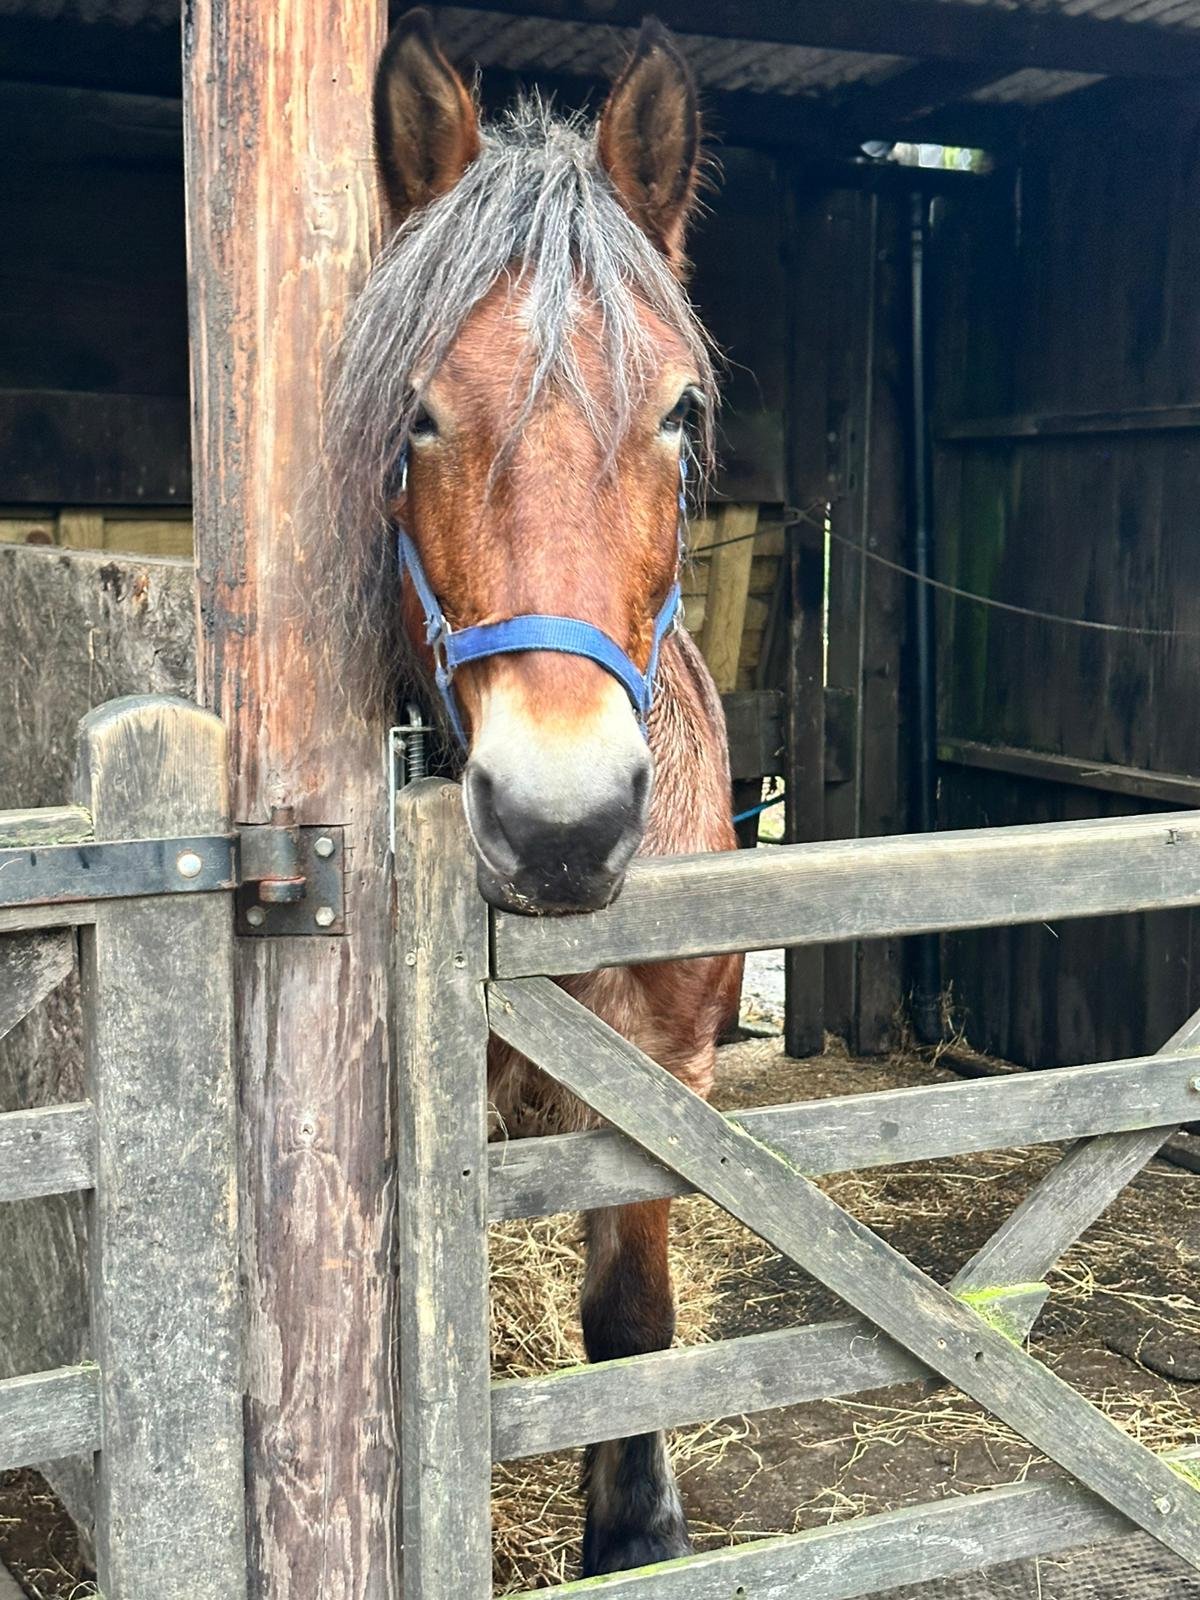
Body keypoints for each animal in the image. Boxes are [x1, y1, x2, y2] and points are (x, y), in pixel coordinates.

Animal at [329, 9, 743, 1576]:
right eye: (419, 415)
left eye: (679, 409)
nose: (561, 825)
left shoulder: (660, 1078)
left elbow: (630, 1323)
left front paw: (635, 1531)